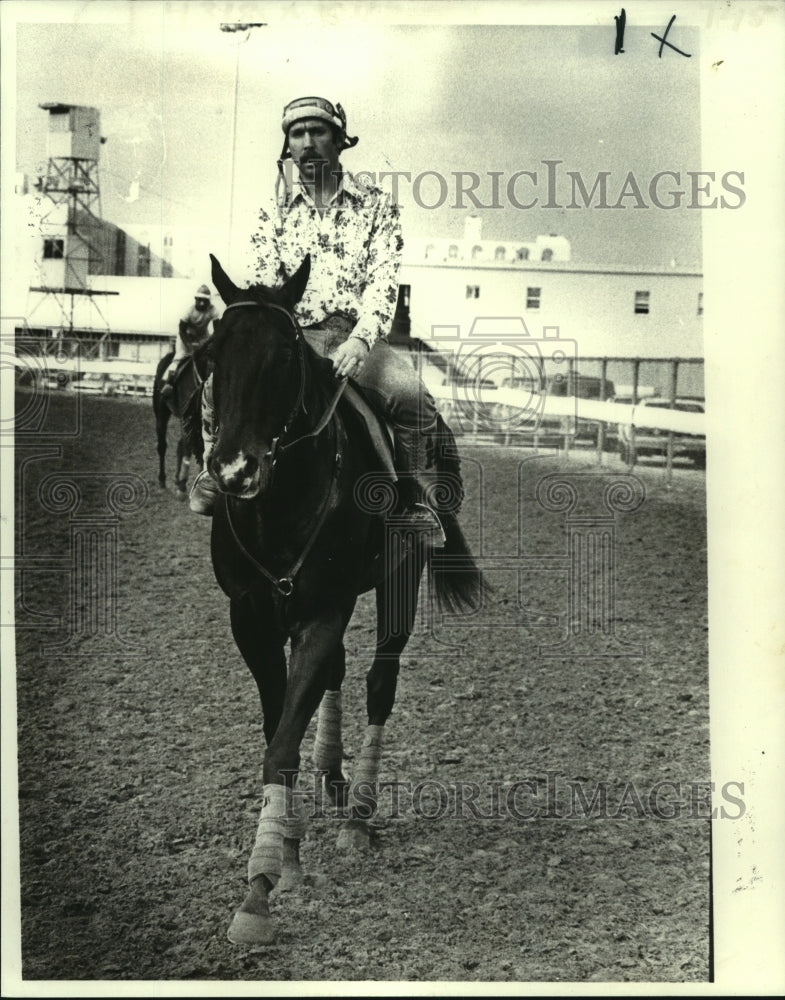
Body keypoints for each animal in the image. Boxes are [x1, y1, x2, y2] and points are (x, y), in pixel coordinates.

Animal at [193, 256, 480, 944]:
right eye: (212, 355)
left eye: (285, 357)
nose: (235, 471)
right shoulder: (253, 620)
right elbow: (280, 735)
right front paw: (288, 856)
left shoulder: (324, 612)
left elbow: (282, 744)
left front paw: (259, 890)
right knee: (338, 677)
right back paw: (336, 781)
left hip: (400, 584)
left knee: (378, 682)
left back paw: (360, 815)